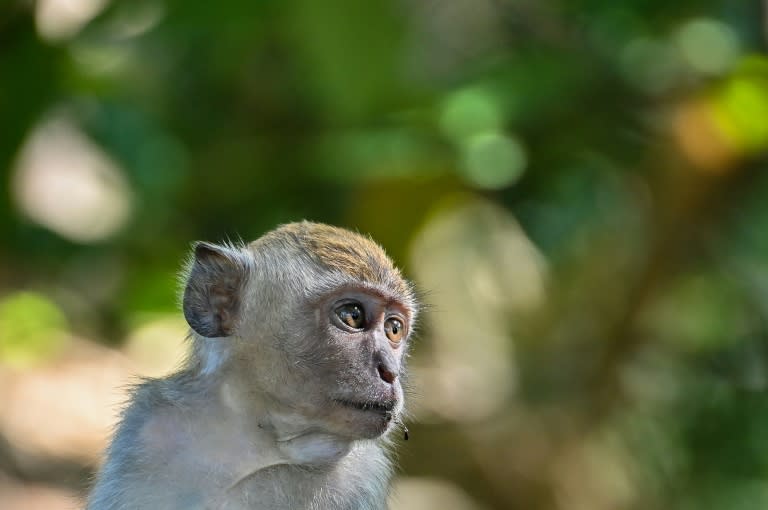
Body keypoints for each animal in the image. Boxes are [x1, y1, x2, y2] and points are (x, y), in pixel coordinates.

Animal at [87, 222, 420, 510]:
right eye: (353, 315)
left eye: (393, 329)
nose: (390, 371)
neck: (258, 432)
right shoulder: (150, 427)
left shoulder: (359, 476)